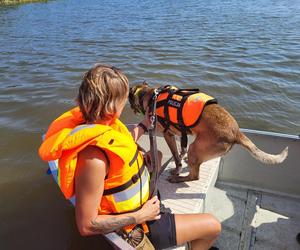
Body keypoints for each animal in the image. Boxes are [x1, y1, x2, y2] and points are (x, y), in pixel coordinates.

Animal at [129, 83, 288, 183]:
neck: (151, 95)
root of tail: (236, 132)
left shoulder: (168, 134)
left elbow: (176, 155)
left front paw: (177, 168)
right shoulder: (180, 134)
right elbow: (181, 150)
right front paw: (181, 158)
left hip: (195, 147)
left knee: (194, 176)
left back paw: (178, 178)